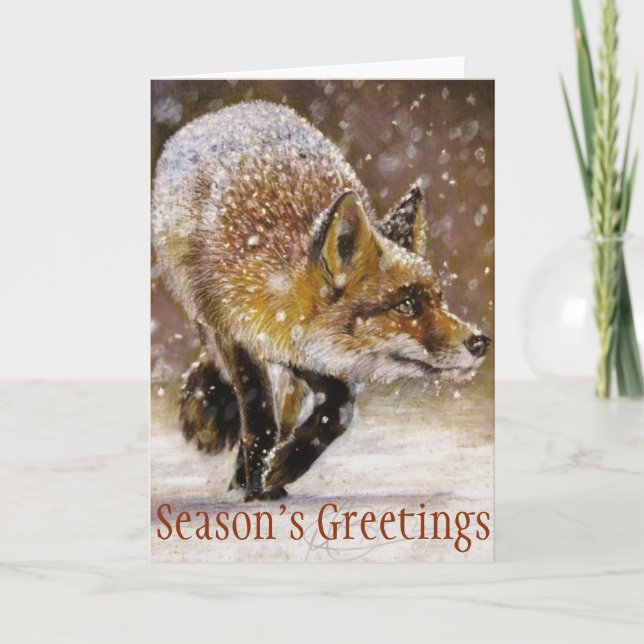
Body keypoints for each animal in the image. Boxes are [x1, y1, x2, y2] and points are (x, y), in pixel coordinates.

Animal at [152, 100, 490, 501]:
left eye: (439, 300)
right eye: (406, 305)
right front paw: (259, 482)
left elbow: (339, 410)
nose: (481, 342)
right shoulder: (234, 333)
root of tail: (234, 109)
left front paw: (281, 467)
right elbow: (259, 418)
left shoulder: (314, 354)